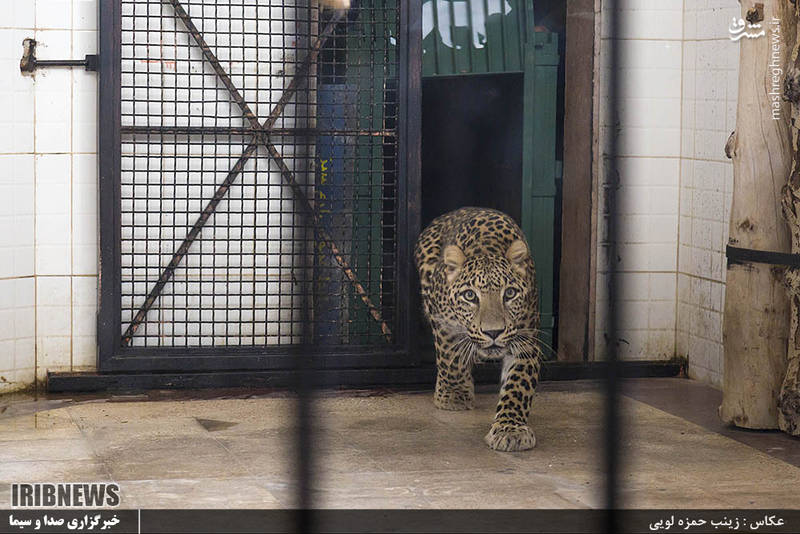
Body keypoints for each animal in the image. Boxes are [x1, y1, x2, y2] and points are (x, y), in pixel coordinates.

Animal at [416, 207, 540, 454]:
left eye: (510, 293)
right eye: (470, 296)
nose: (493, 332)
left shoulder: (526, 339)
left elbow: (518, 384)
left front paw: (510, 429)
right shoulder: (442, 320)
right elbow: (450, 356)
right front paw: (454, 395)